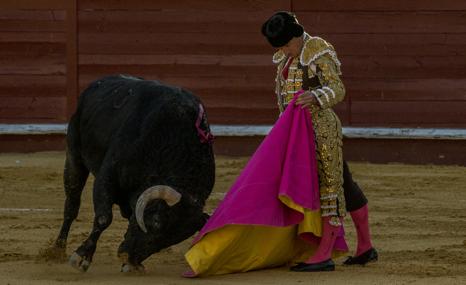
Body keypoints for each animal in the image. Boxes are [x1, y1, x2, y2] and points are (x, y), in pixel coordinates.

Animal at [52, 75, 216, 270]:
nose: (128, 256)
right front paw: (82, 256)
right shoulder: (107, 176)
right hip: (74, 157)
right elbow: (103, 218)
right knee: (71, 205)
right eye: (154, 222)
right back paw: (57, 250)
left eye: (170, 241)